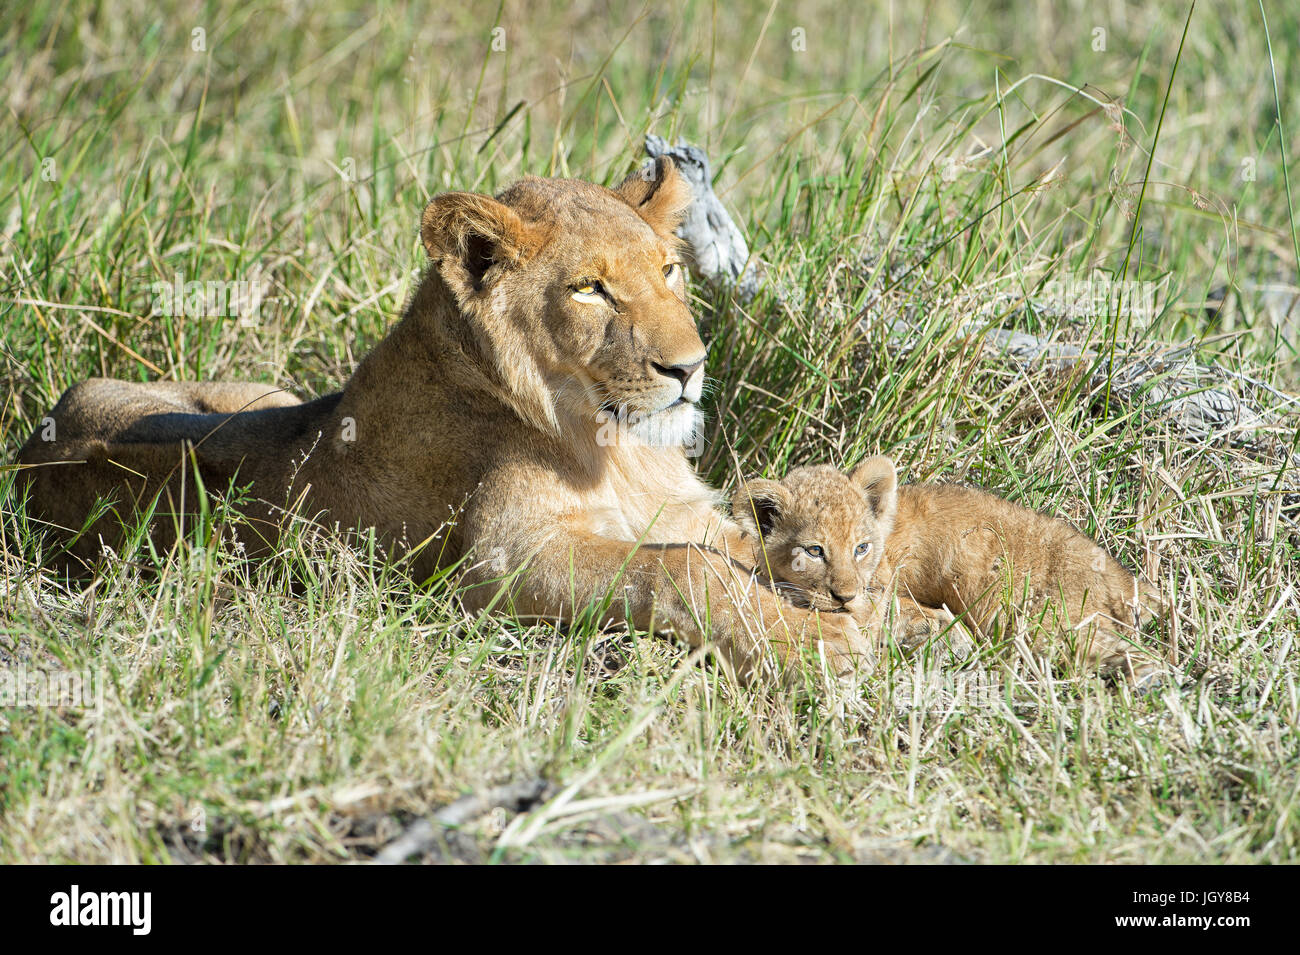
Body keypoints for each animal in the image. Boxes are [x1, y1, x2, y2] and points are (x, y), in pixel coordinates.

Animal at [17, 162, 863, 686]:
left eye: (670, 271)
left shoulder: (686, 511)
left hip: (258, 395)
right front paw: (820, 641)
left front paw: (868, 601)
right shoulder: (501, 560)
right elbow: (684, 568)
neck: (614, 442)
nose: (688, 368)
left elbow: (752, 548)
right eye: (589, 288)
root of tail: (36, 439)